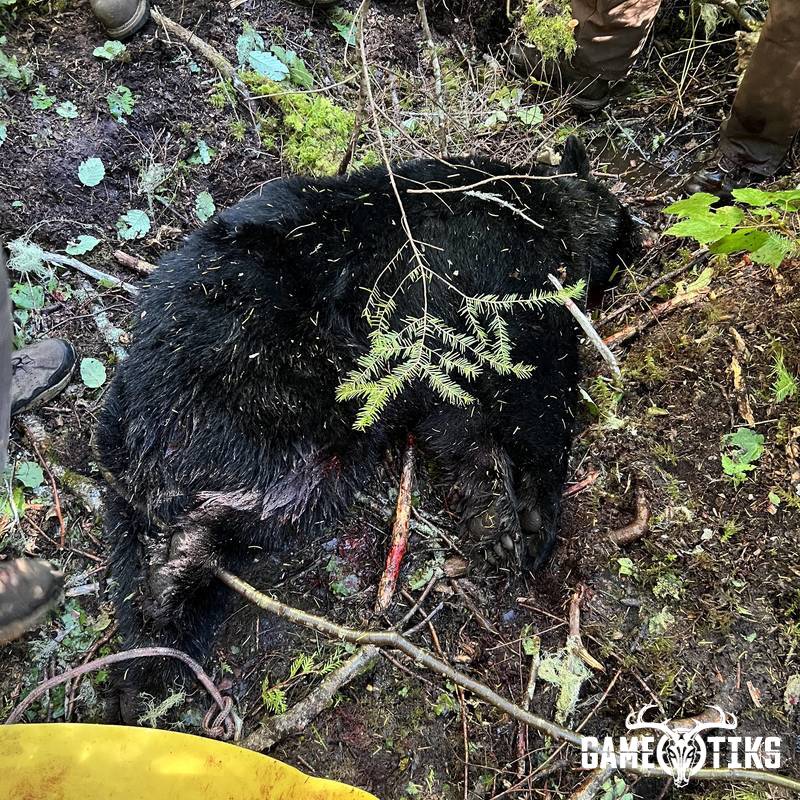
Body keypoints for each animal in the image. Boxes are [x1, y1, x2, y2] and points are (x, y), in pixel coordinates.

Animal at [96, 136, 639, 703]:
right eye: (622, 219)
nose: (638, 239)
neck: (540, 210)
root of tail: (124, 441)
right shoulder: (506, 273)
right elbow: (536, 389)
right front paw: (532, 514)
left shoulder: (441, 351)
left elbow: (456, 417)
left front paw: (493, 513)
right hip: (259, 368)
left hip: (312, 456)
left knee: (256, 509)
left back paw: (172, 583)